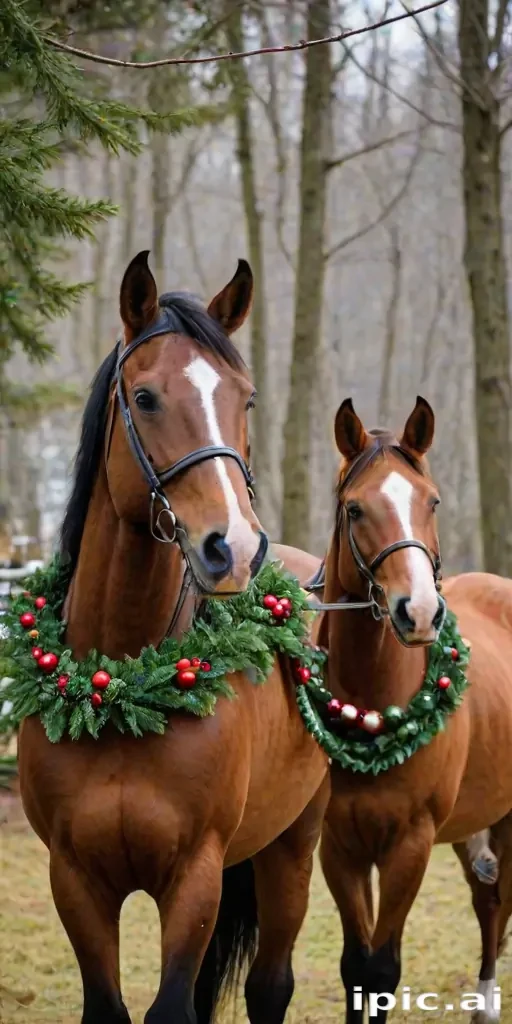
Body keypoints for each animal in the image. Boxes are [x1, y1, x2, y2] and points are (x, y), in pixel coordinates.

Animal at [17, 251, 329, 1024]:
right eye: (147, 397)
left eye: (246, 400)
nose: (234, 548)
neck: (122, 687)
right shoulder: (75, 879)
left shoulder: (195, 876)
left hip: (292, 845)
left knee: (270, 986)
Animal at [314, 395, 512, 1023]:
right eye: (354, 508)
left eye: (433, 501)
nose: (419, 611)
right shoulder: (341, 846)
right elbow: (356, 969)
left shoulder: (410, 844)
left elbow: (381, 969)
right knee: (488, 897)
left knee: (498, 901)